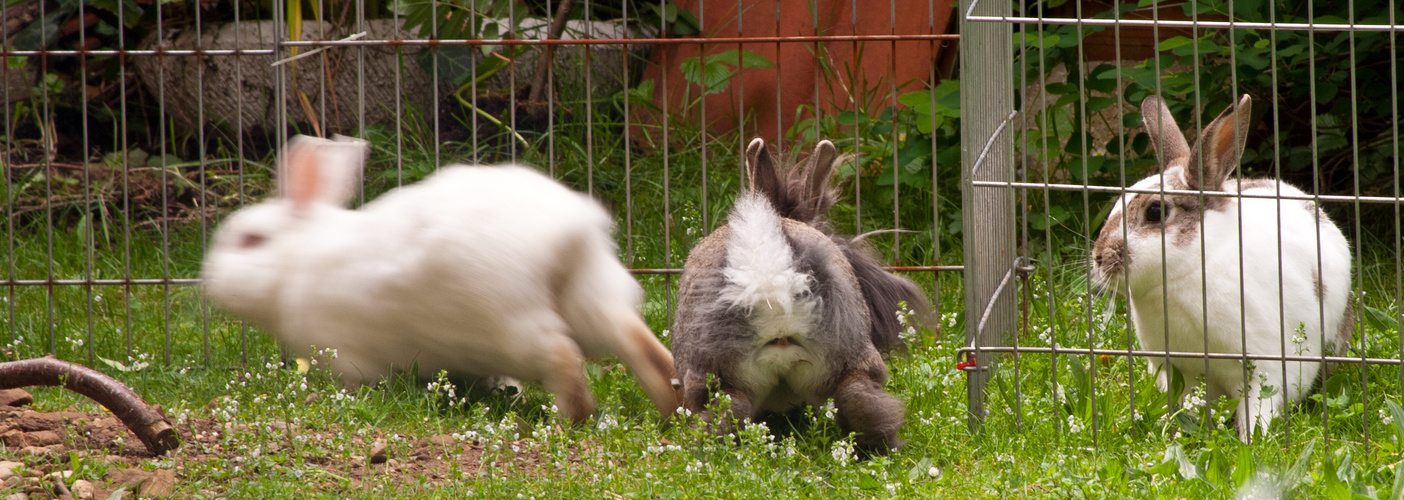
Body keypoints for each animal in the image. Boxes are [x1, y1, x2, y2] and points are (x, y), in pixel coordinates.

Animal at [202, 134, 679, 421]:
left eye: (251, 240)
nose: (208, 278)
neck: (295, 263)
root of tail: (566, 235)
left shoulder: (345, 355)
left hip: (508, 325)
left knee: (561, 356)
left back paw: (569, 421)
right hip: (596, 298)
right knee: (639, 345)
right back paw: (672, 408)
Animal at [1089, 95, 1353, 438]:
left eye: (1155, 211)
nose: (1098, 258)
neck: (1184, 274)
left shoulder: (1267, 368)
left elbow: (1258, 407)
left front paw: (1252, 440)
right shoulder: (1178, 373)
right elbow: (1185, 406)